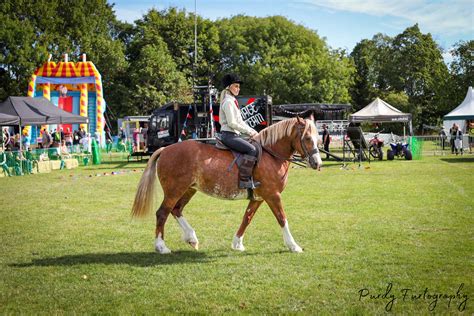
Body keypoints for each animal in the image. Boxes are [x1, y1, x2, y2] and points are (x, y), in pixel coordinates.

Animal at [131, 117, 322, 253]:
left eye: (318, 139)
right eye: (307, 137)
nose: (317, 163)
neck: (271, 155)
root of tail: (166, 149)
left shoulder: (259, 198)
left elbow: (247, 218)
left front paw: (237, 244)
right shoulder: (272, 195)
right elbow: (282, 218)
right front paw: (293, 246)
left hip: (188, 189)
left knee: (176, 210)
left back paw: (191, 238)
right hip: (174, 190)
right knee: (162, 213)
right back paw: (161, 247)